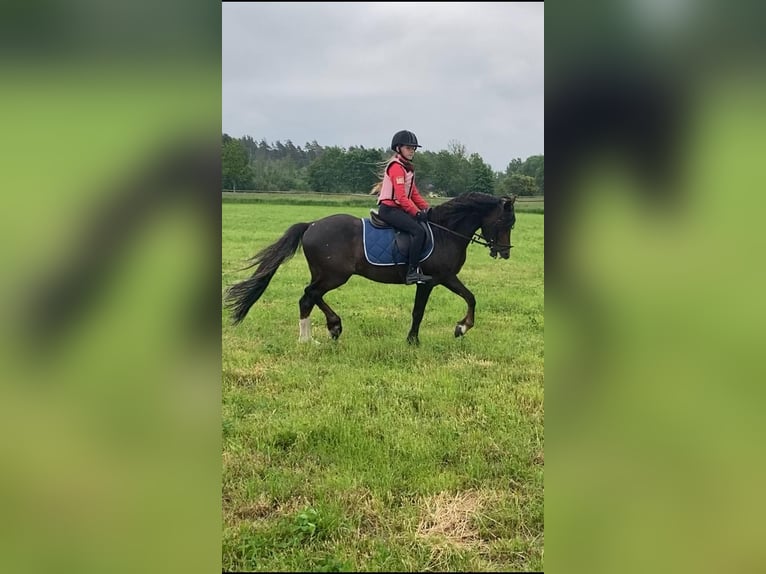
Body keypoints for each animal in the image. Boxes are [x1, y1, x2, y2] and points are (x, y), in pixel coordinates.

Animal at [225, 194, 520, 346]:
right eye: (504, 222)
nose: (505, 252)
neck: (445, 232)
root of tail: (311, 225)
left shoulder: (445, 278)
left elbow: (470, 297)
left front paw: (461, 328)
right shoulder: (431, 280)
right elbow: (420, 311)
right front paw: (417, 339)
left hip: (326, 274)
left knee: (310, 296)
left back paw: (326, 330)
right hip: (334, 275)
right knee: (309, 295)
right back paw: (315, 336)